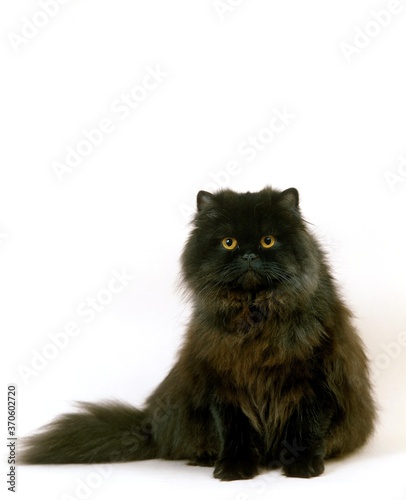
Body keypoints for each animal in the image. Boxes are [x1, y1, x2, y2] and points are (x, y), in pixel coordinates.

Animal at [18, 187, 374, 480]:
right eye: (228, 242)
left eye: (268, 240)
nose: (248, 254)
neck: (254, 318)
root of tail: (149, 423)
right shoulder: (223, 384)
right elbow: (235, 432)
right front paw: (234, 469)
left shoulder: (316, 379)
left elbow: (307, 429)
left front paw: (301, 467)